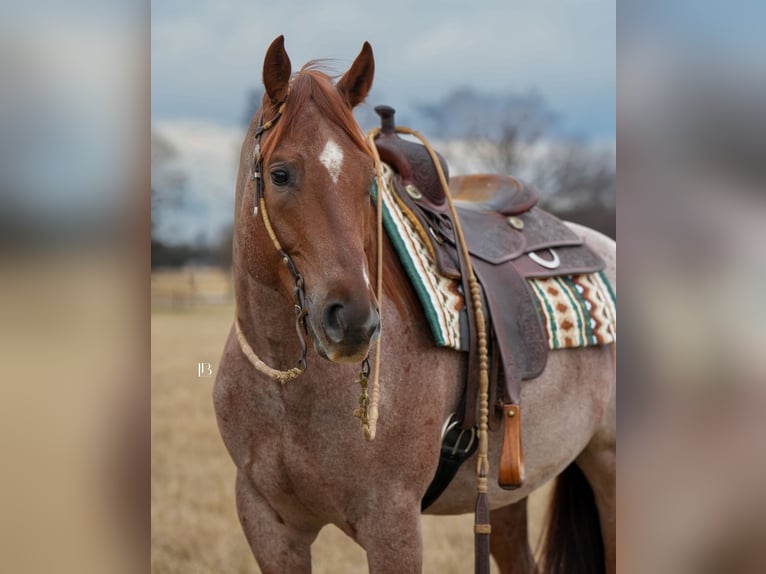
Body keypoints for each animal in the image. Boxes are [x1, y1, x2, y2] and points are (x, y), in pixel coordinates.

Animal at [214, 35, 616, 574]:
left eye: (369, 179)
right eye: (280, 175)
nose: (354, 322)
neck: (287, 390)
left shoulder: (393, 523)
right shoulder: (268, 523)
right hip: (508, 494)